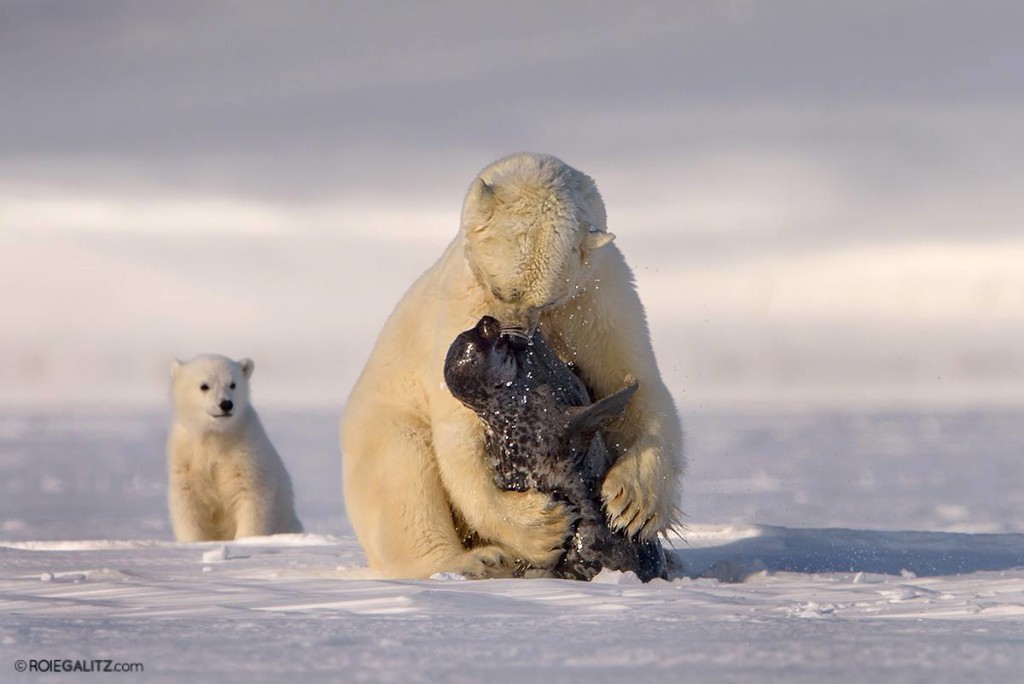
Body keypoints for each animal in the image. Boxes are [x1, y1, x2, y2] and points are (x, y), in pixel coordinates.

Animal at [167, 354, 303, 542]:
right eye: (204, 385)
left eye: (233, 384)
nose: (226, 404)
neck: (216, 436)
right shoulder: (186, 455)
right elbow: (187, 502)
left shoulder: (246, 452)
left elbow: (251, 497)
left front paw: (246, 540)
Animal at [341, 152, 683, 579]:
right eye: (501, 290)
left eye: (546, 299)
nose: (511, 335)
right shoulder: (461, 304)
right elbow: (461, 439)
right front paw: (541, 527)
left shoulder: (599, 297)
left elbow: (638, 384)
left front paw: (633, 503)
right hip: (382, 424)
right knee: (403, 476)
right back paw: (477, 559)